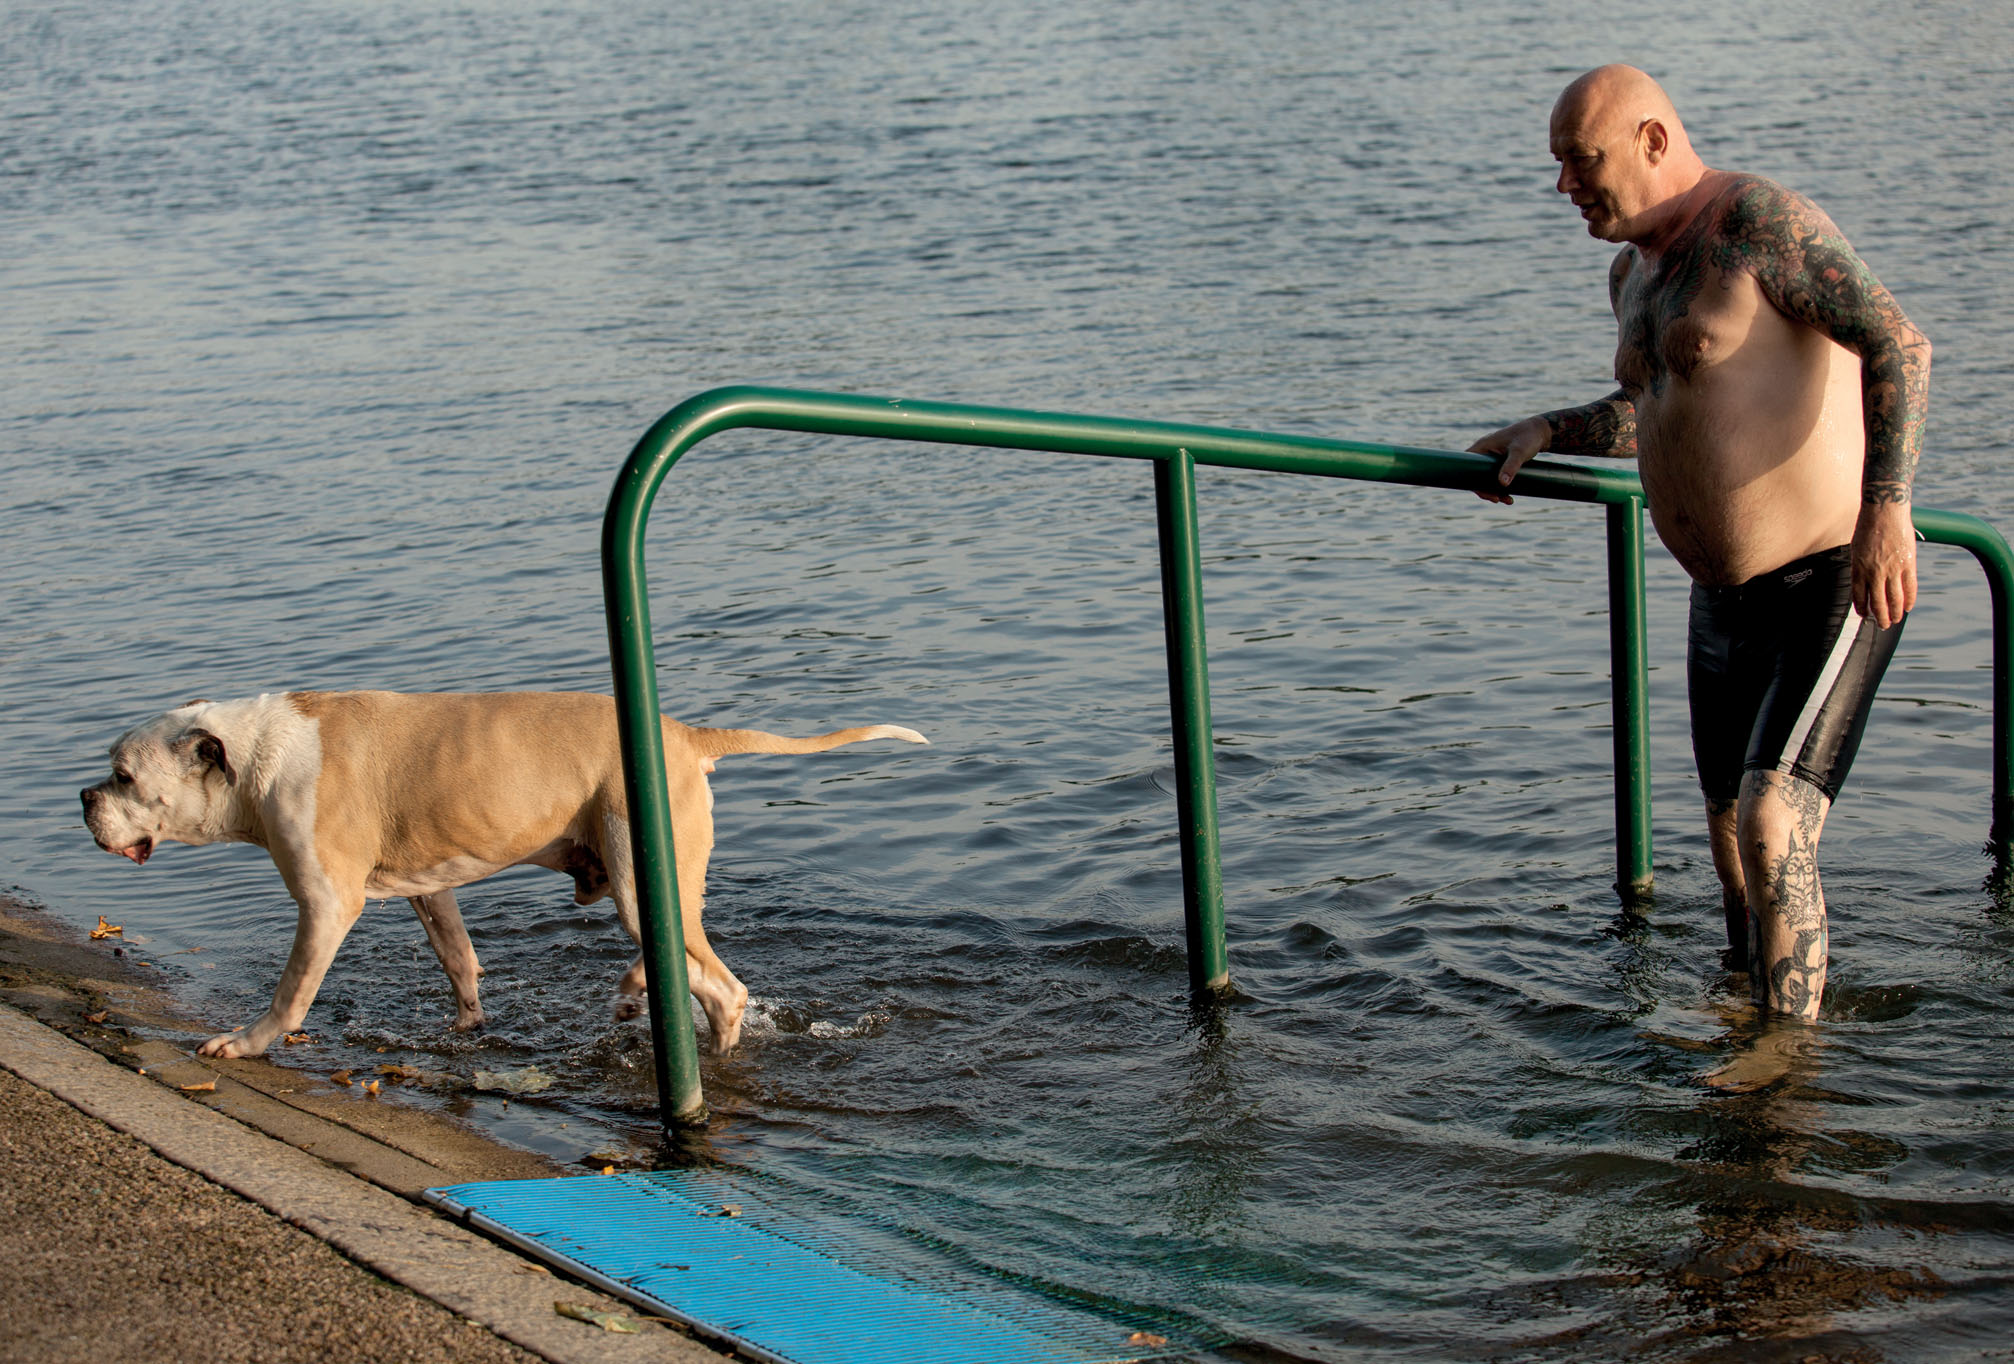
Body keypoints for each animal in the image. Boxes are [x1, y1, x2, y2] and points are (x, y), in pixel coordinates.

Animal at [78, 693, 926, 1055]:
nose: (83, 798)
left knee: (723, 987)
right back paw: (634, 994)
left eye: (124, 776)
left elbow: (290, 994)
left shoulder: (326, 904)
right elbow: (458, 958)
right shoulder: (430, 888)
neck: (257, 754)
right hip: (648, 885)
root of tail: (683, 733)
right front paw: (468, 1023)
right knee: (683, 959)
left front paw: (246, 1043)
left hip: (638, 880)